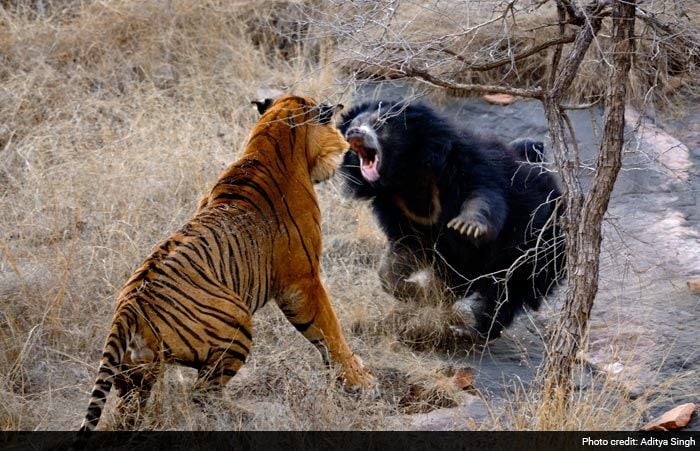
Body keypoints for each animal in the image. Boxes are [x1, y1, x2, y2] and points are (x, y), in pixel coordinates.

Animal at [77, 95, 374, 434]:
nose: (346, 146)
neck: (269, 142)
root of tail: (127, 309)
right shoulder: (302, 280)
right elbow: (329, 329)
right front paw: (359, 380)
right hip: (237, 321)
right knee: (203, 393)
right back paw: (248, 415)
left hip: (136, 372)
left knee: (130, 409)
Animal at [336, 98, 568, 340]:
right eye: (354, 125)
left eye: (379, 124)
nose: (353, 133)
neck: (405, 175)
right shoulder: (399, 210)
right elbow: (402, 253)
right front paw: (417, 292)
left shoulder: (467, 165)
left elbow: (484, 196)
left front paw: (467, 227)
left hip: (536, 250)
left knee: (506, 294)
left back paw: (472, 330)